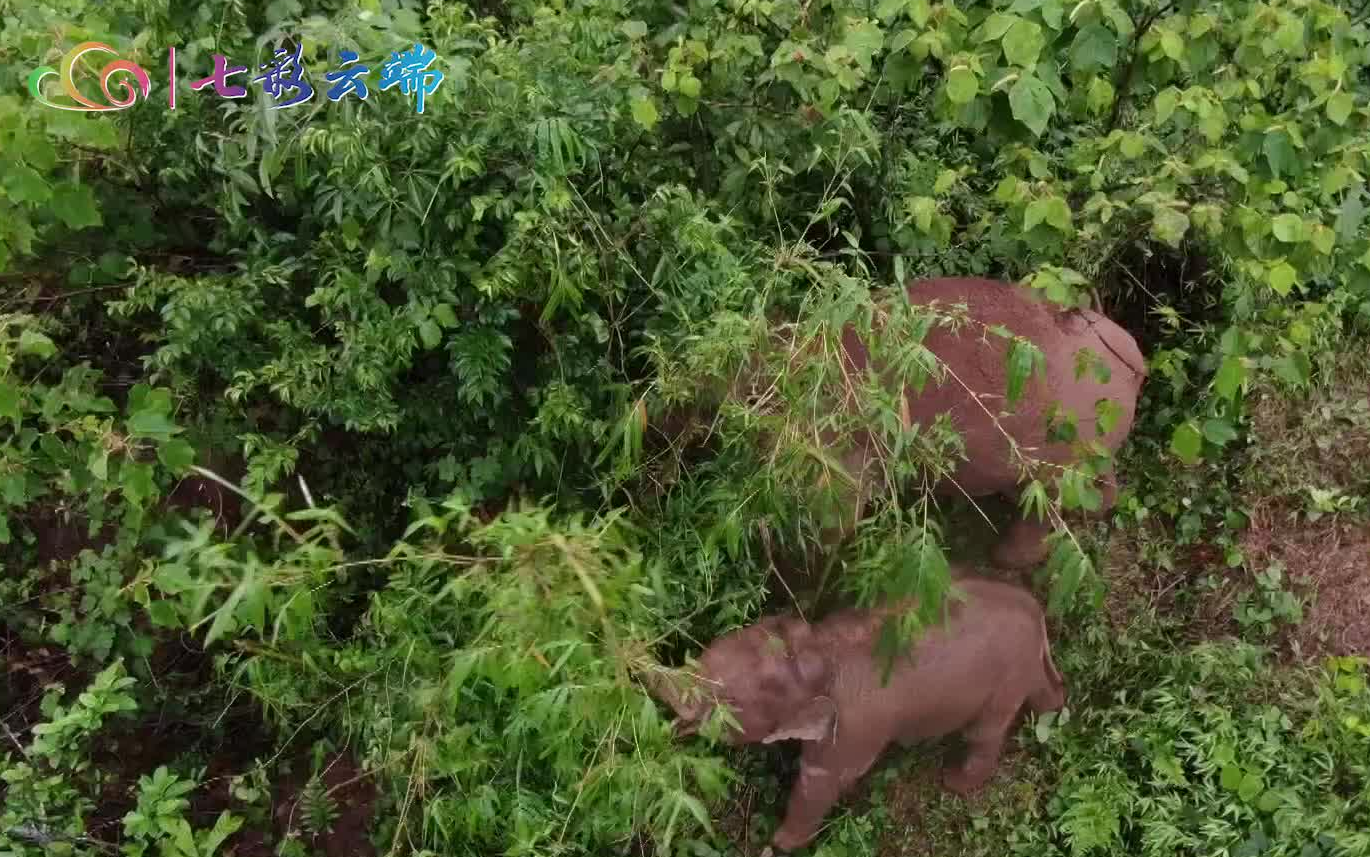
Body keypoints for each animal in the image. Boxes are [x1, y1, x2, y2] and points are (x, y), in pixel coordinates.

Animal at [646, 574, 1063, 848]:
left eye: (730, 704)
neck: (822, 648)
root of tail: (1037, 609)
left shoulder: (854, 726)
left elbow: (822, 779)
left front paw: (779, 844)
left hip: (1004, 681)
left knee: (984, 732)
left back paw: (955, 781)